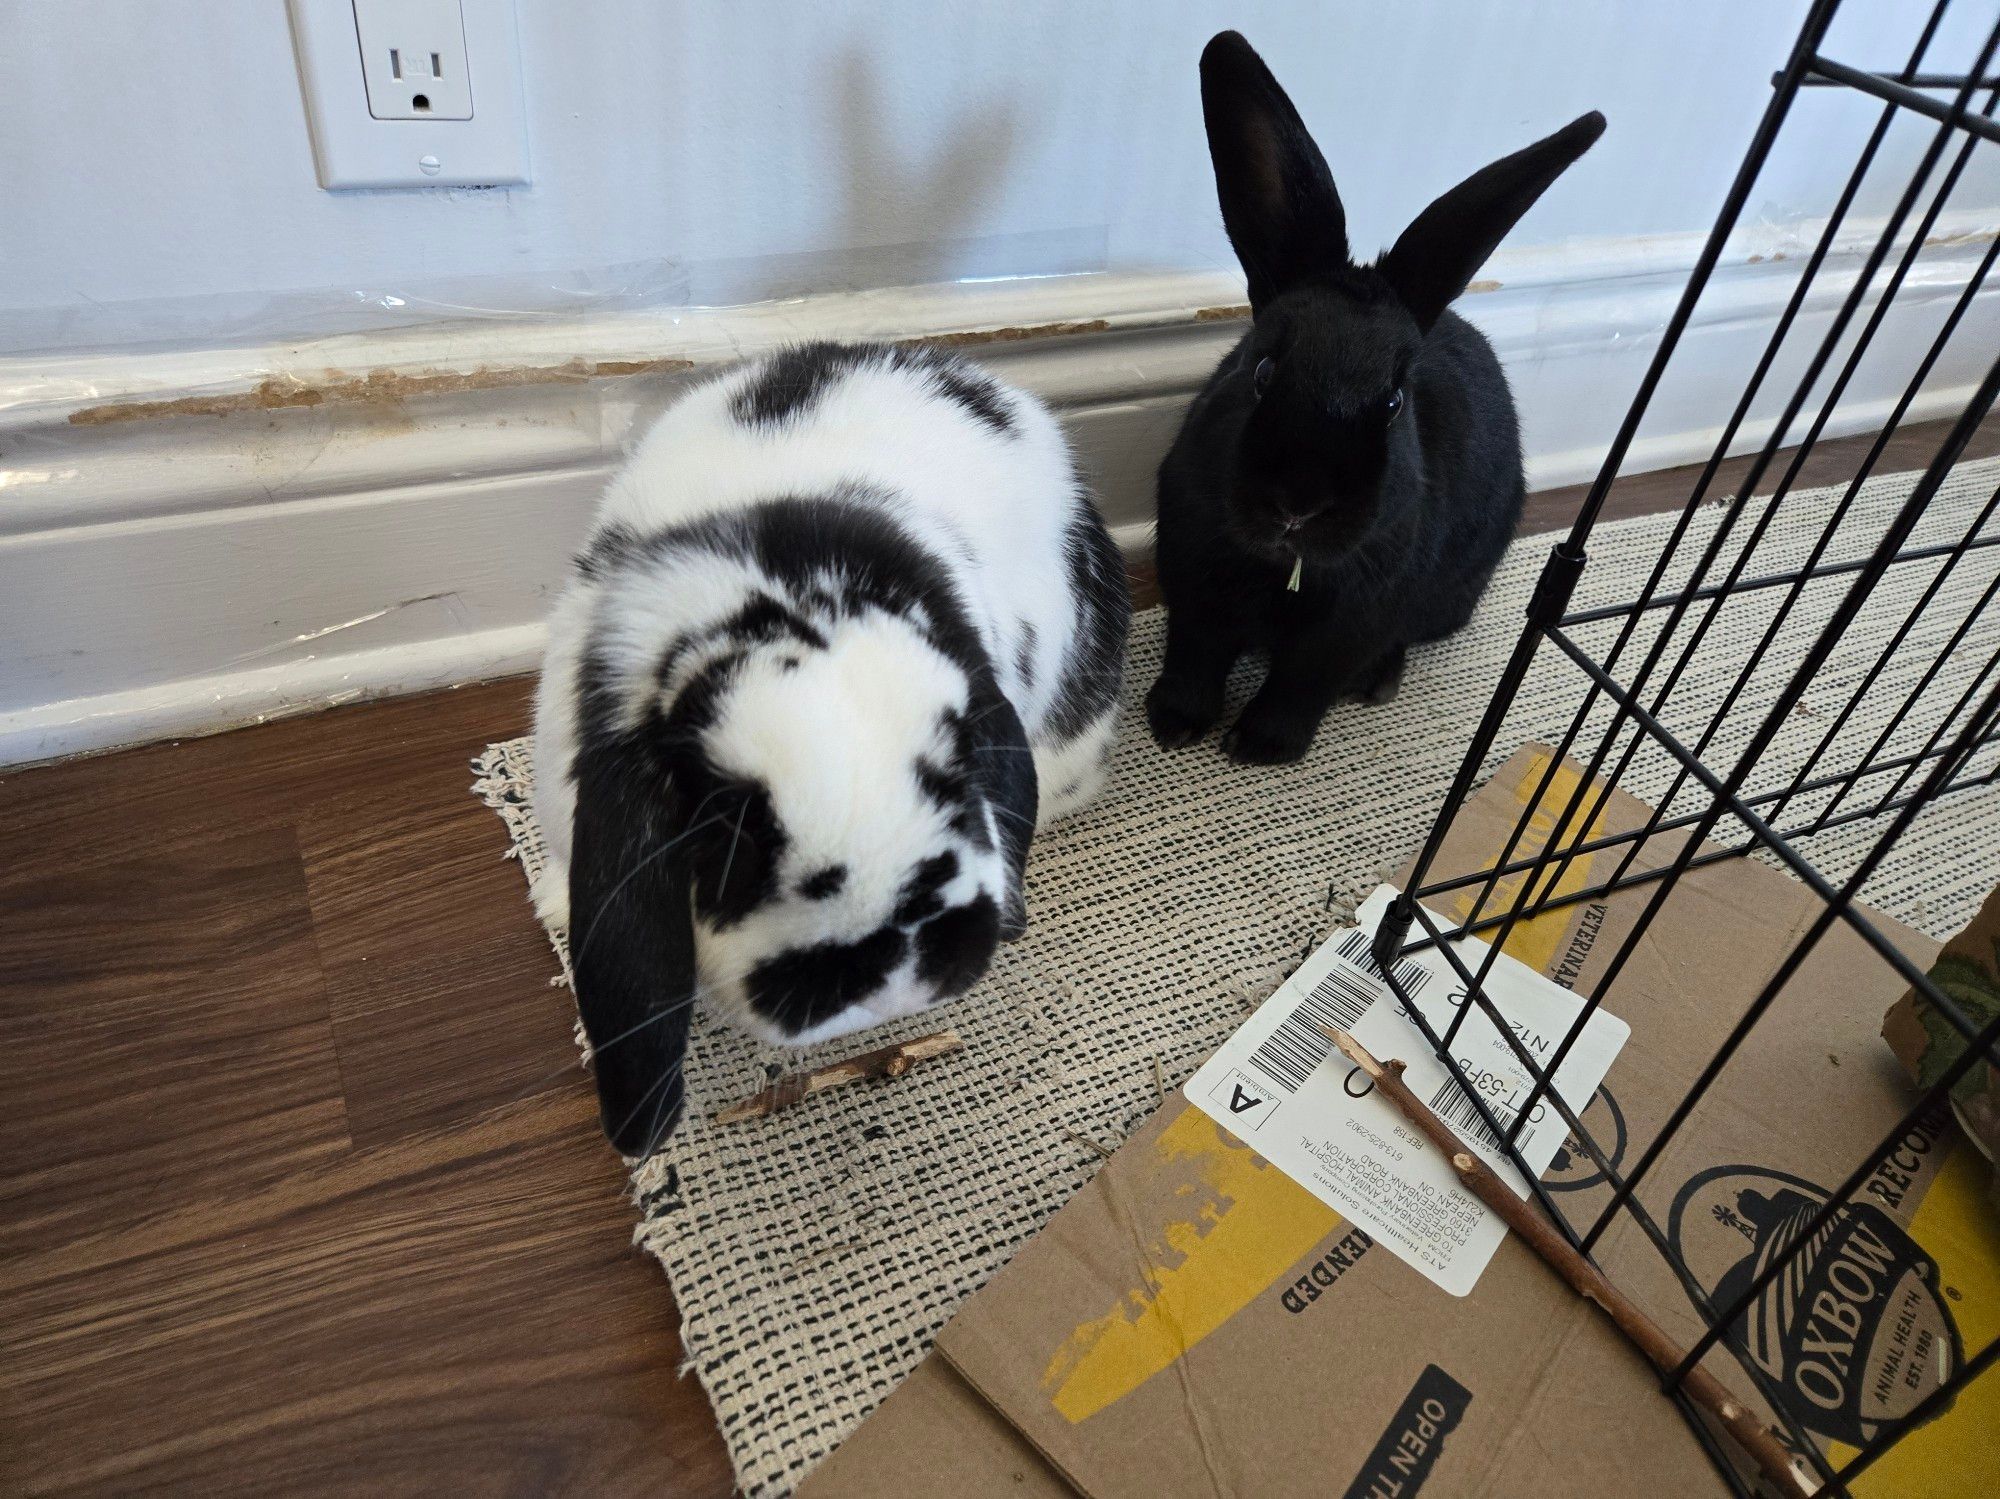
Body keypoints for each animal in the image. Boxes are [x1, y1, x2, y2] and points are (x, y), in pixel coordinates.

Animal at [1152, 32, 1600, 763]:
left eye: (1393, 403)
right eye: (1262, 369)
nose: (1298, 503)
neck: (1285, 568)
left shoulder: (1351, 624)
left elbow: (1302, 684)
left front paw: (1260, 747)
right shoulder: (1192, 583)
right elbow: (1195, 656)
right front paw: (1173, 725)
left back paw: (1380, 683)